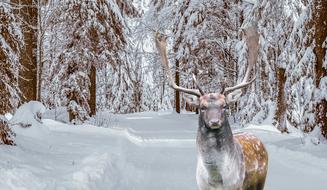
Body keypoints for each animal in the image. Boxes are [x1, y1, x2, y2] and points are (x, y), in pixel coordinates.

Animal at [156, 25, 270, 190]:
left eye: (225, 106)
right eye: (202, 107)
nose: (215, 121)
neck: (216, 179)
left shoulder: (236, 185)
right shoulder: (201, 186)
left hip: (260, 180)